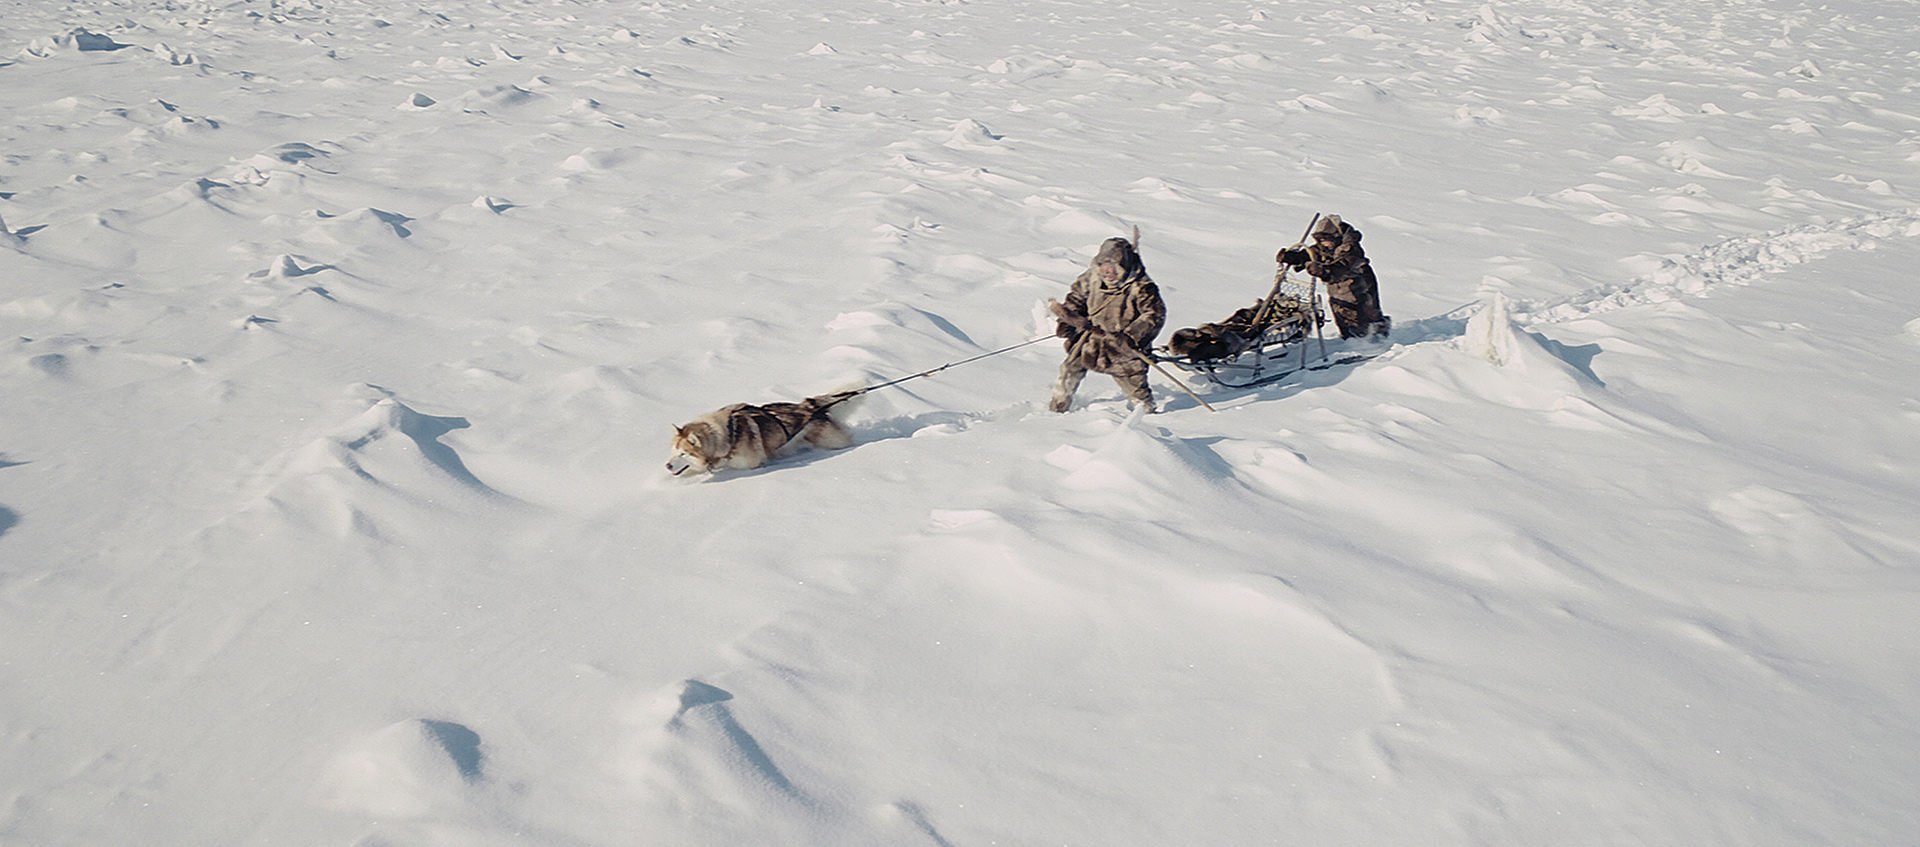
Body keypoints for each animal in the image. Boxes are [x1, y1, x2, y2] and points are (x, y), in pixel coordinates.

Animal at [668, 389, 864, 476]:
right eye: (673, 453)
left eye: (683, 453)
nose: (668, 466)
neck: (728, 436)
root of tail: (810, 407)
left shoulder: (752, 463)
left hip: (833, 441)